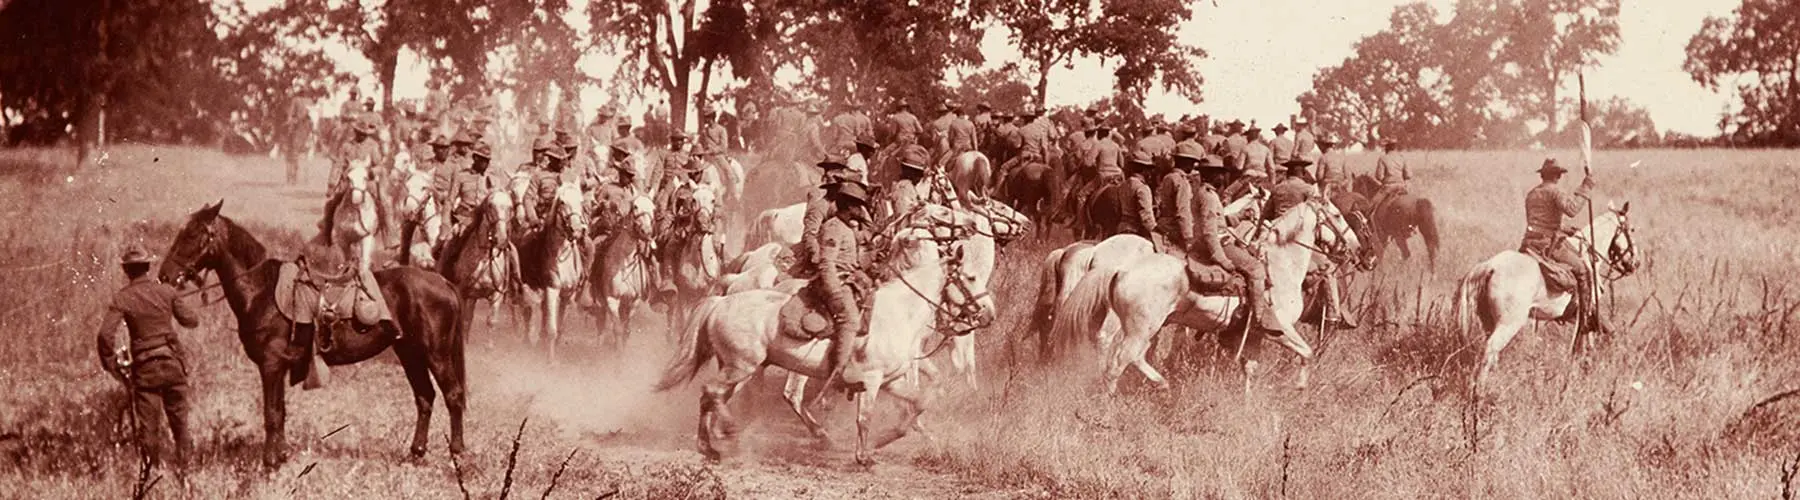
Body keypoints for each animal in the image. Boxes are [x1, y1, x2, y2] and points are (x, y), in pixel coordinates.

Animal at [159, 200, 464, 467]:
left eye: (192, 234)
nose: (164, 275)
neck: (260, 292)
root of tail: (442, 282)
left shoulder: (270, 365)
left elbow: (271, 414)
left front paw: (269, 463)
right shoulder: (279, 367)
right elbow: (281, 411)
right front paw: (281, 455)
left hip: (435, 354)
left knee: (453, 396)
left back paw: (457, 454)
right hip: (409, 353)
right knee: (425, 397)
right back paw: (417, 452)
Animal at [658, 204, 1000, 464]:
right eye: (970, 276)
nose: (988, 314)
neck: (900, 310)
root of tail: (722, 300)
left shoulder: (892, 378)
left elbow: (918, 399)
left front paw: (892, 437)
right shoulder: (873, 379)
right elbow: (866, 416)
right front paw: (864, 455)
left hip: (742, 366)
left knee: (715, 396)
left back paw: (712, 444)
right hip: (744, 365)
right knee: (733, 393)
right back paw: (736, 432)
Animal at [1051, 199, 1353, 393]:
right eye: (1337, 215)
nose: (1353, 246)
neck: (1279, 267)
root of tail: (1121, 268)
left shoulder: (1252, 335)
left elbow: (1250, 369)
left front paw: (1247, 404)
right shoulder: (1280, 329)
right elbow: (1307, 352)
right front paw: (1299, 387)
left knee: (1130, 355)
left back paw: (1160, 384)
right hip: (1139, 327)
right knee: (1120, 359)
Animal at [1454, 201, 1641, 388]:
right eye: (1631, 230)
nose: (1636, 263)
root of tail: (1489, 267)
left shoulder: (1575, 316)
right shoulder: (1587, 312)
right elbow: (1586, 342)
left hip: (1489, 321)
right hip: (1509, 323)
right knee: (1490, 350)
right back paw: (1480, 391)